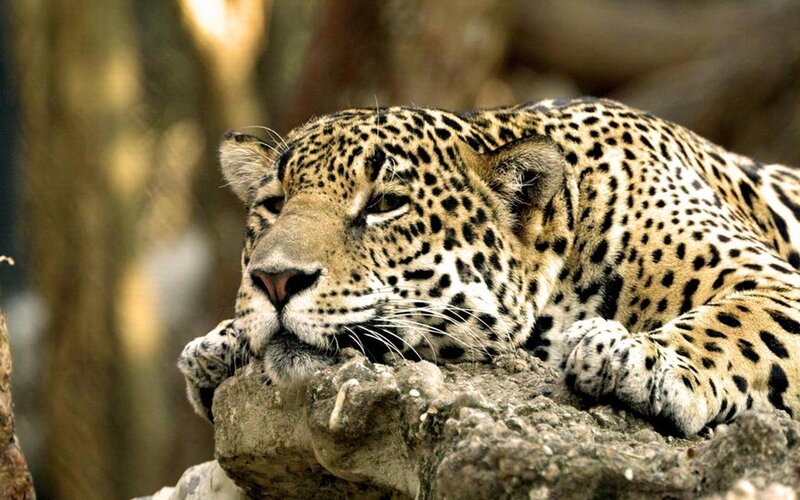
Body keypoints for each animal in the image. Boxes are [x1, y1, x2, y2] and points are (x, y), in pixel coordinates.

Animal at [178, 98, 800, 436]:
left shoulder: (774, 282)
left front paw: (636, 358)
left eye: (385, 204)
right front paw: (220, 342)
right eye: (274, 204)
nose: (275, 279)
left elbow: (732, 324)